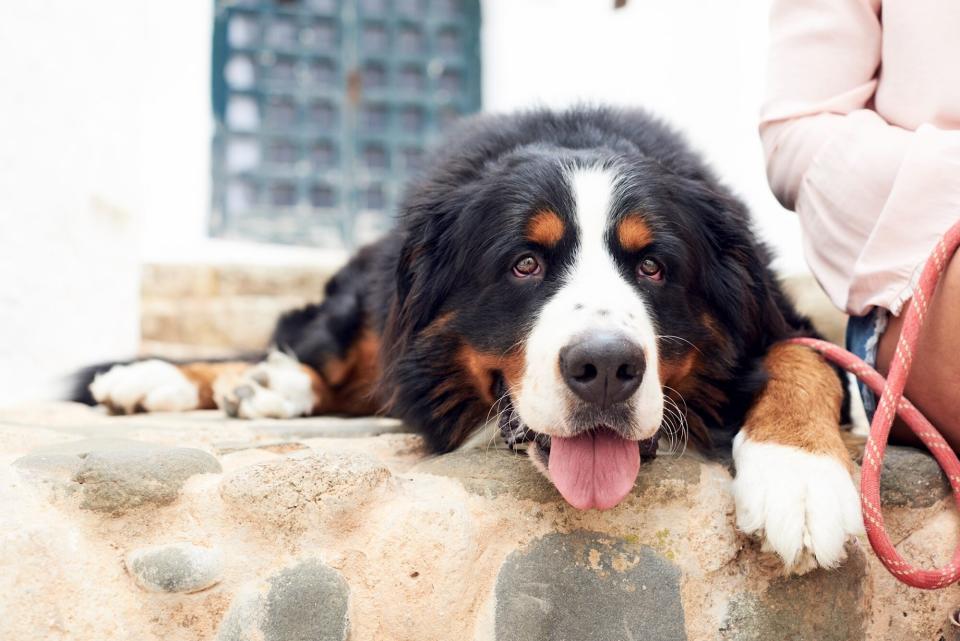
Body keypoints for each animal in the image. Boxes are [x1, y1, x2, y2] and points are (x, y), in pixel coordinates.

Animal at [79, 107, 868, 572]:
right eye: (525, 263)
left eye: (653, 266)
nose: (605, 366)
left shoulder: (788, 320)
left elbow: (807, 361)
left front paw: (799, 477)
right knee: (321, 346)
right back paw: (194, 380)